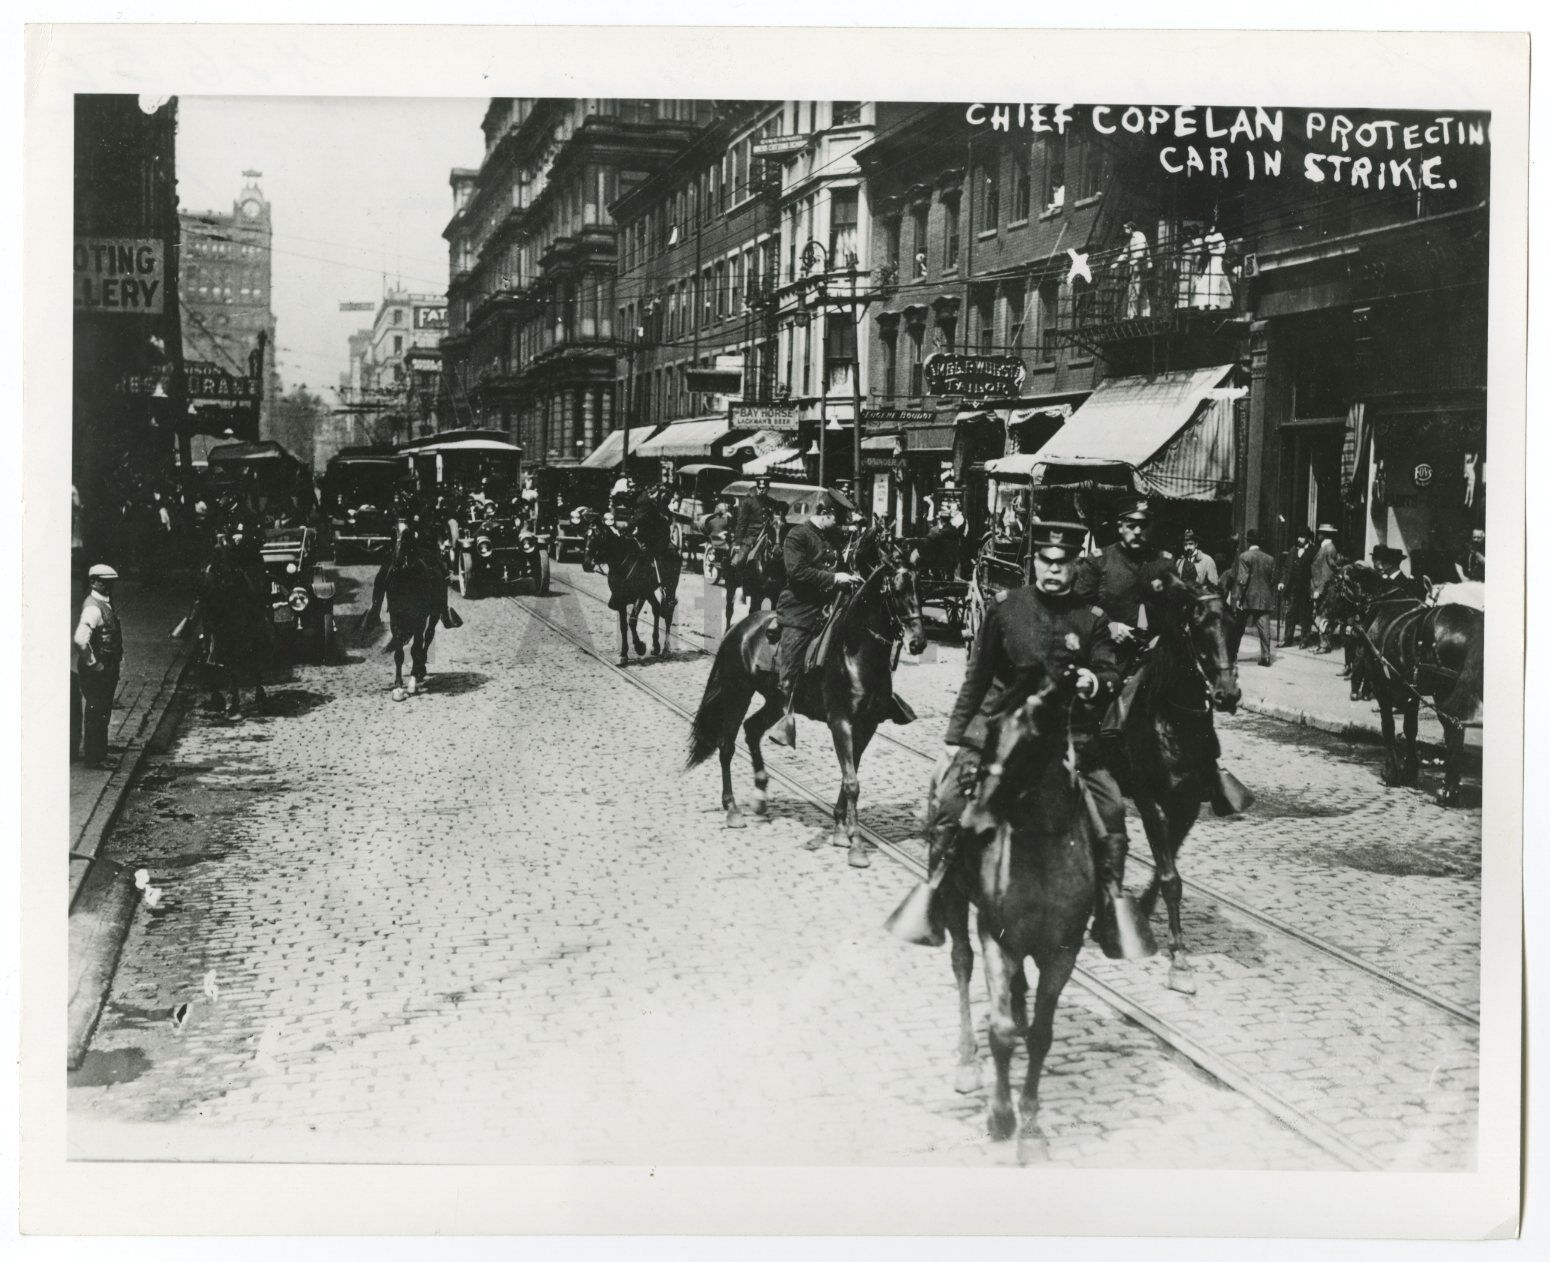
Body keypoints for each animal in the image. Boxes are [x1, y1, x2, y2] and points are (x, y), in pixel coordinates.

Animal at [688, 530, 917, 868]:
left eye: (920, 586)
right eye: (897, 589)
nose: (919, 641)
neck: (855, 651)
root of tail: (739, 628)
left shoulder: (867, 726)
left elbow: (850, 776)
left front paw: (840, 830)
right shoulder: (841, 722)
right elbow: (852, 782)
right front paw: (856, 846)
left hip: (776, 701)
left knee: (752, 730)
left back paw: (760, 795)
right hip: (737, 692)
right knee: (727, 745)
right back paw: (733, 810)